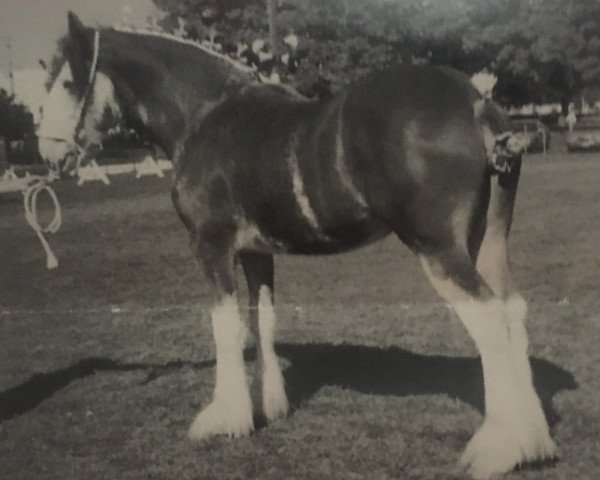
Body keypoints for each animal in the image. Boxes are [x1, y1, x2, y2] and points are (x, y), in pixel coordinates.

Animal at [37, 13, 556, 478]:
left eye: (68, 82)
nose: (48, 152)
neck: (204, 114)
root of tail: (476, 102)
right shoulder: (256, 252)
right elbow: (261, 321)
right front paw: (269, 407)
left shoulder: (211, 245)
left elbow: (225, 328)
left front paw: (224, 419)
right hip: (487, 241)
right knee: (513, 313)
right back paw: (534, 442)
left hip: (438, 249)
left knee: (490, 322)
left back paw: (497, 450)